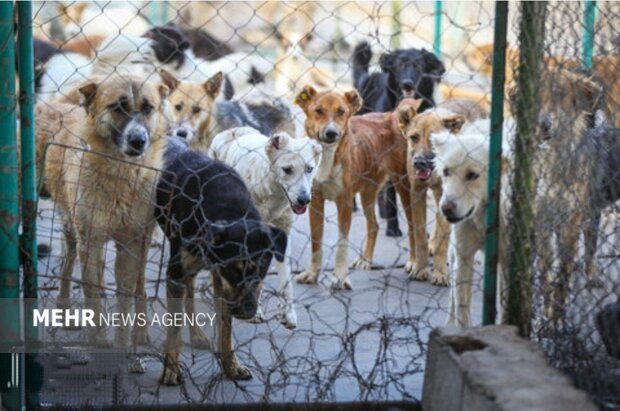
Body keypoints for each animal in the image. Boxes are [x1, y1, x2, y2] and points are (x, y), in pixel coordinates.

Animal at [209, 125, 322, 328]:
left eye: (309, 169)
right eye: (287, 170)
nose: (304, 200)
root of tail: (233, 130)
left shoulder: (284, 231)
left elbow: (286, 279)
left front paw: (288, 314)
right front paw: (255, 312)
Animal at [294, 86, 418, 290]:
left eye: (341, 112)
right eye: (318, 110)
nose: (331, 133)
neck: (327, 156)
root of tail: (391, 116)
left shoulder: (344, 202)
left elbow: (342, 244)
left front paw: (340, 277)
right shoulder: (315, 202)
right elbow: (315, 242)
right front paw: (312, 274)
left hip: (403, 186)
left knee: (413, 226)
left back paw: (415, 263)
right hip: (368, 193)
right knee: (374, 225)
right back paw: (366, 260)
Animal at [348, 41, 446, 237]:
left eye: (418, 66)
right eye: (399, 65)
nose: (407, 83)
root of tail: (368, 79)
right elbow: (392, 198)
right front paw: (393, 227)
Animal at [400, 99, 492, 286]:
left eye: (432, 139)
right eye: (414, 138)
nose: (419, 162)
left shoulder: (447, 195)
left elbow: (443, 239)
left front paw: (440, 272)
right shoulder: (417, 193)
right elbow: (419, 234)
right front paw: (420, 268)